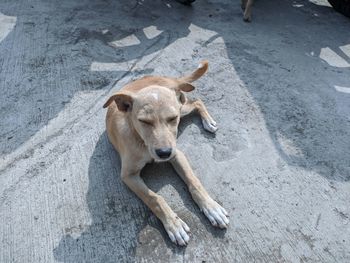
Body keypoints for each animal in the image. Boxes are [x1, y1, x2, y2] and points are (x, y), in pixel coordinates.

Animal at [103, 60, 230, 246]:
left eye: (172, 118)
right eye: (144, 121)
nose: (164, 153)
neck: (142, 142)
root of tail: (167, 79)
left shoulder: (177, 154)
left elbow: (194, 182)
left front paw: (211, 207)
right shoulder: (128, 175)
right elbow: (155, 198)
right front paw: (174, 225)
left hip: (182, 107)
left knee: (197, 101)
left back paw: (208, 121)